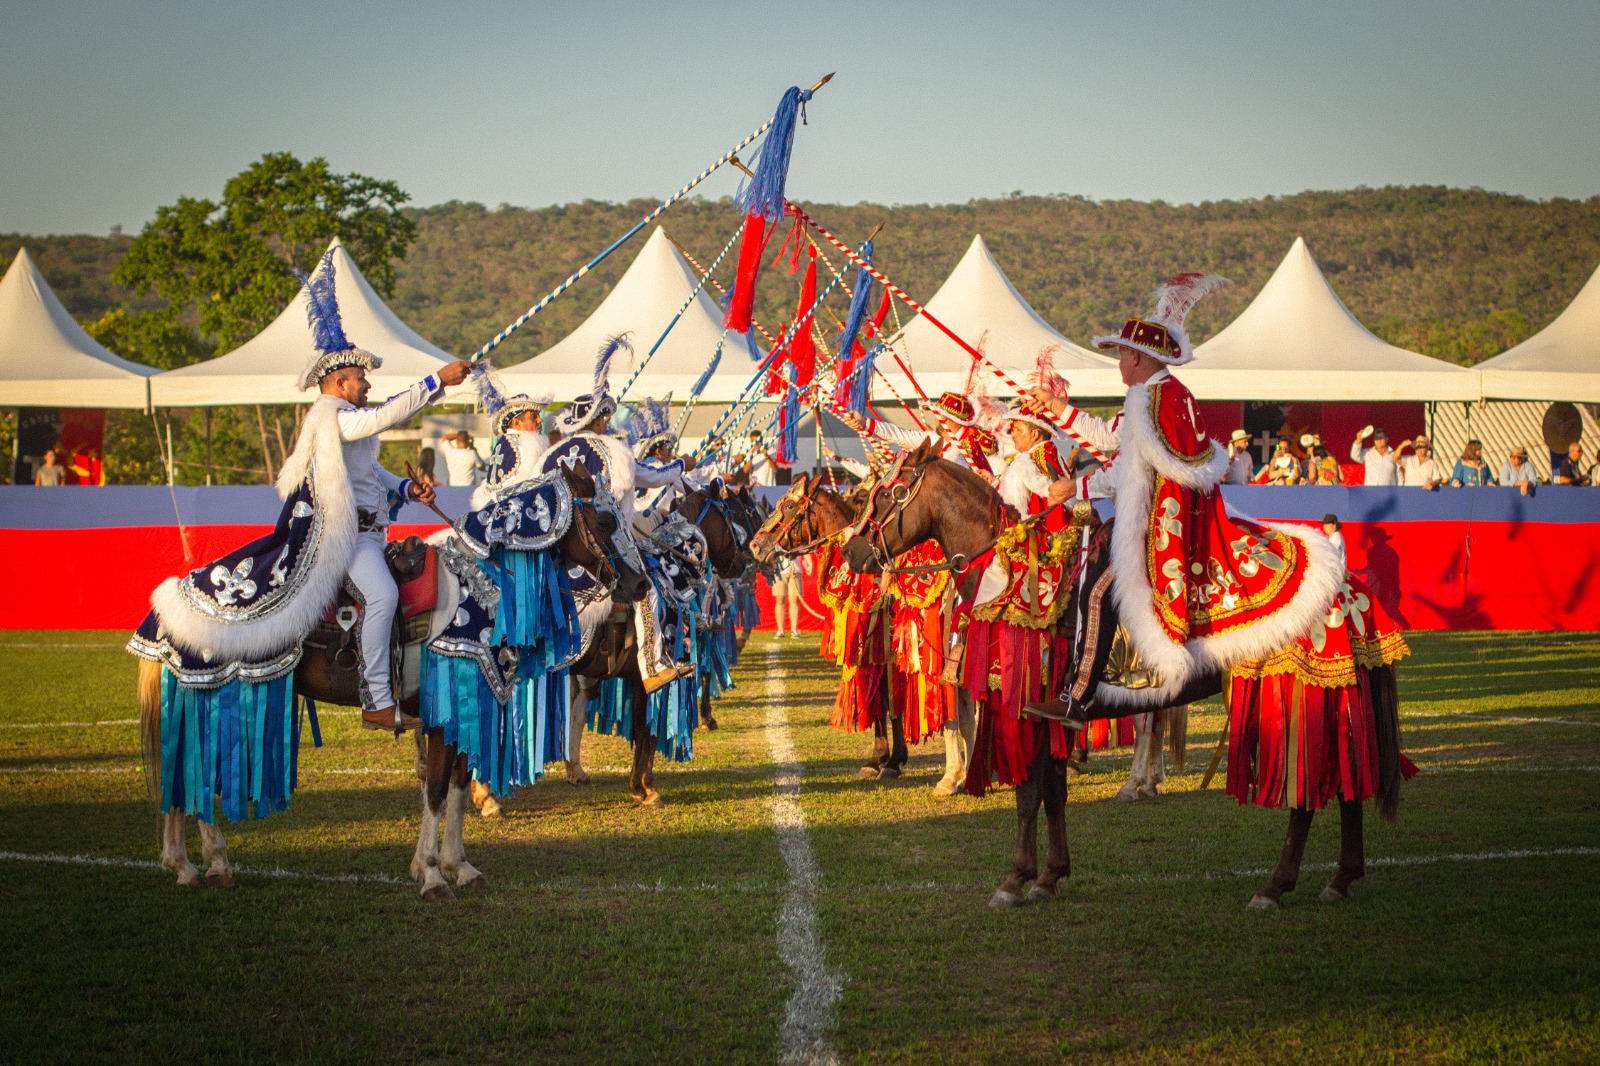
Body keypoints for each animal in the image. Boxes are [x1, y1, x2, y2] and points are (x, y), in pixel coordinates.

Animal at [132, 464, 643, 896]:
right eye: (602, 521)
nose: (638, 585)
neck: (480, 588)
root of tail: (164, 611)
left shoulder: (467, 710)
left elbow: (458, 790)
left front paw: (460, 867)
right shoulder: (441, 718)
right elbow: (435, 792)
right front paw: (432, 875)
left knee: (183, 776)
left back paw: (184, 864)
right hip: (214, 698)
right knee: (198, 775)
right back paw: (213, 863)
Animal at [832, 438, 1408, 902]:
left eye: (886, 495)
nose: (854, 552)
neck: (1012, 576)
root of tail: (1348, 588)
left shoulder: (1026, 705)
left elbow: (1028, 795)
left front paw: (1016, 880)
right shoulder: (1050, 717)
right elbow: (1053, 794)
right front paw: (1050, 876)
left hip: (1294, 694)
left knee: (1306, 795)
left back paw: (1275, 886)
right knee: (1349, 781)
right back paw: (1339, 878)